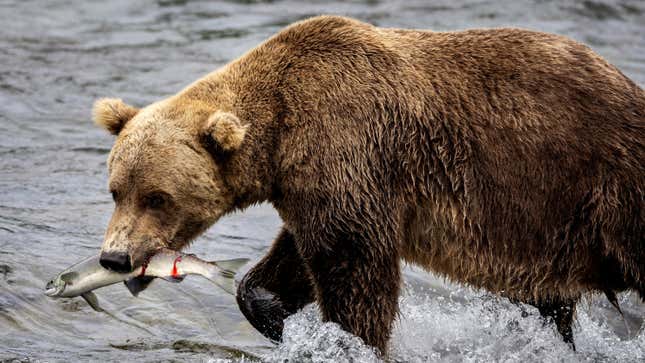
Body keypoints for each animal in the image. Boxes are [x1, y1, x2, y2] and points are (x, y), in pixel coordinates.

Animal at [92, 15, 644, 354]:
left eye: (157, 197)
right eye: (116, 190)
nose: (114, 257)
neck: (280, 132)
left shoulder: (351, 146)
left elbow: (356, 270)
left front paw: (350, 340)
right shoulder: (315, 184)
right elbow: (293, 261)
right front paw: (274, 314)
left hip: (602, 186)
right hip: (552, 229)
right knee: (549, 301)